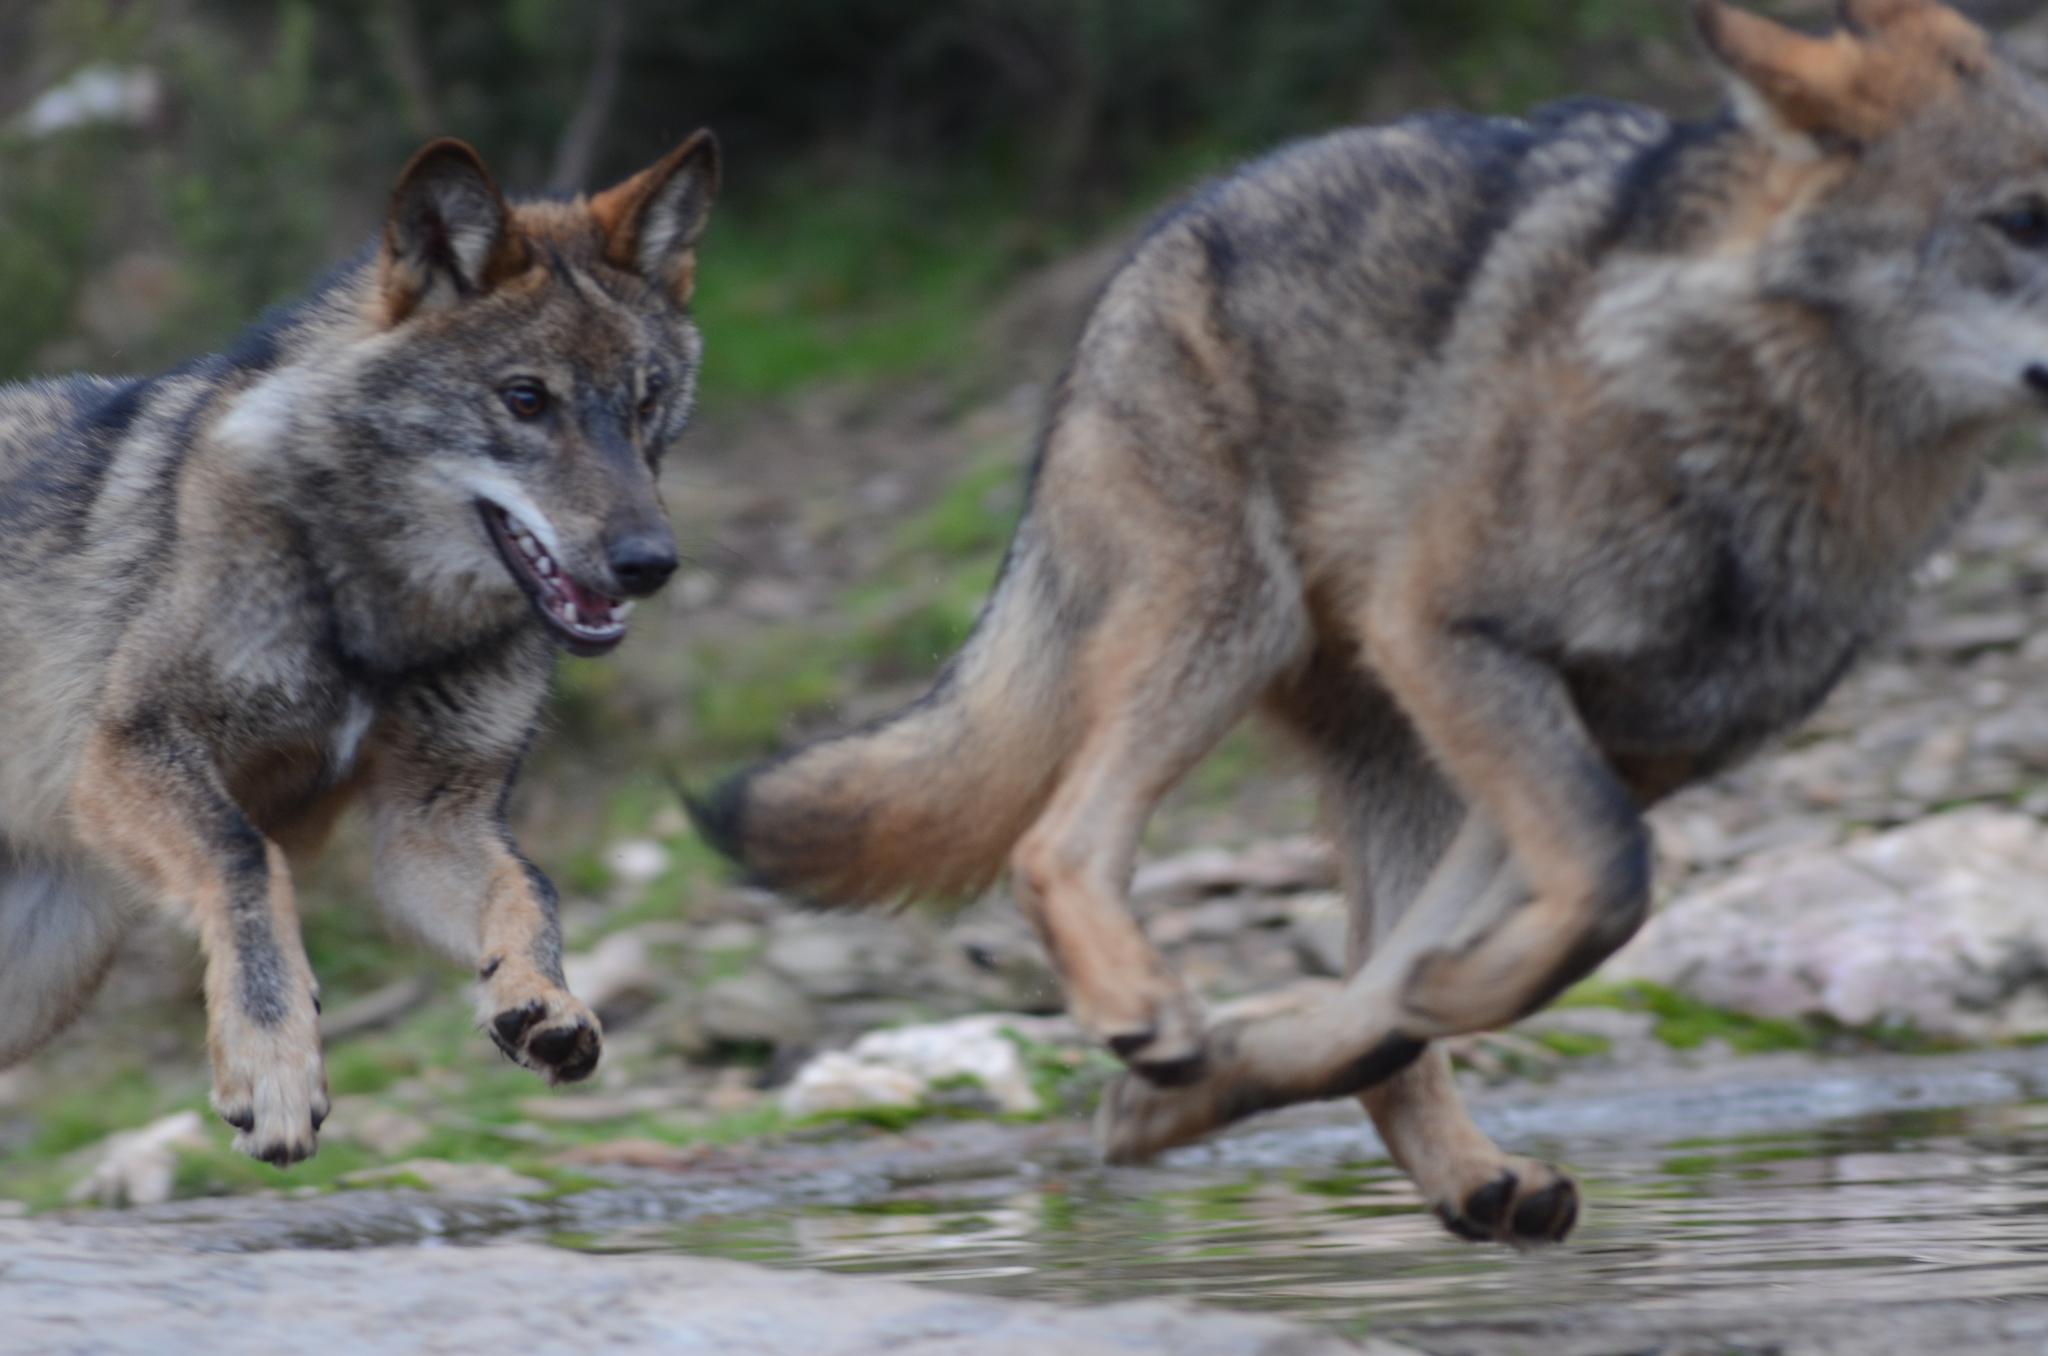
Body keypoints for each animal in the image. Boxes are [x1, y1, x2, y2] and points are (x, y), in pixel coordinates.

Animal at [0, 131, 718, 1165]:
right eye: (525, 400)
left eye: (646, 402)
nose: (650, 564)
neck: (372, 613)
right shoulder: (125, 754)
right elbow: (245, 861)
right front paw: (274, 1069)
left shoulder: (432, 821)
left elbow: (529, 890)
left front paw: (540, 1000)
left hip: (44, 969)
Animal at [698, 0, 2048, 1244]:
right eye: (2025, 222)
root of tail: (1173, 224)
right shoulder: (1461, 646)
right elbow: (1603, 894)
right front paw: (1218, 1070)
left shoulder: (1622, 755)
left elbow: (1461, 968)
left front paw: (1197, 1096)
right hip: (1225, 634)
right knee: (1055, 842)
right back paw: (1146, 1004)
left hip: (1401, 759)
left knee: (1361, 990)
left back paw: (1450, 1165)